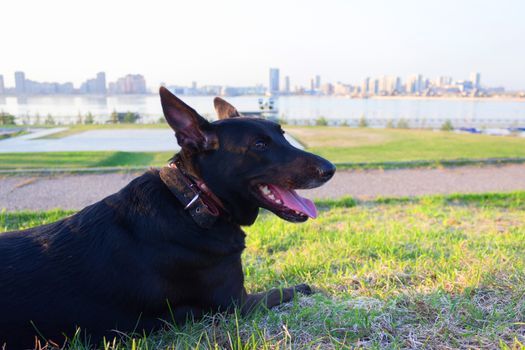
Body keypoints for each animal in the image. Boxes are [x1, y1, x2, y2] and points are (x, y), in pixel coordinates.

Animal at [0, 87, 336, 348]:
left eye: (284, 136)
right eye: (260, 145)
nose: (330, 168)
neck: (195, 200)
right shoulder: (237, 304)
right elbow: (286, 290)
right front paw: (305, 287)